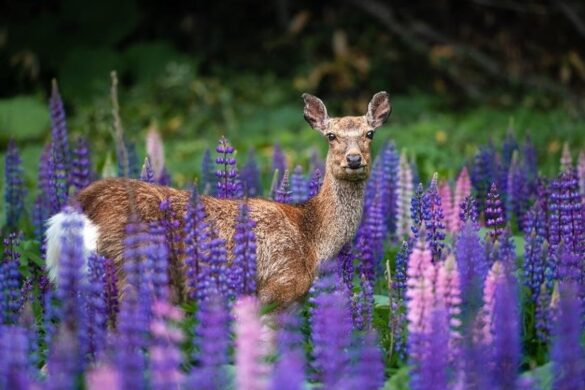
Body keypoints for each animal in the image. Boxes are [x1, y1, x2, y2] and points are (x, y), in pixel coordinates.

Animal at [45, 91, 392, 308]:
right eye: (331, 135)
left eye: (370, 133)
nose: (354, 159)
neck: (312, 237)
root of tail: (80, 206)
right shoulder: (278, 285)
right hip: (130, 273)